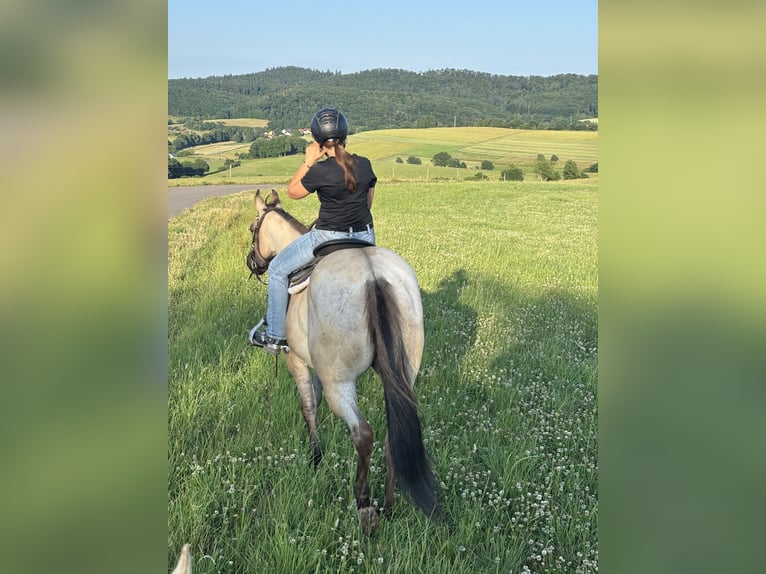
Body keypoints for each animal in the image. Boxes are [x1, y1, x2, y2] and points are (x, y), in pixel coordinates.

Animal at [246, 189, 439, 534]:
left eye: (253, 228)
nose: (251, 262)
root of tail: (374, 277)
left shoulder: (297, 360)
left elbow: (308, 405)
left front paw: (315, 458)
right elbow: (315, 401)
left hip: (341, 382)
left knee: (363, 434)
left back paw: (364, 506)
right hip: (404, 374)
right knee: (391, 434)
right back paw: (388, 506)